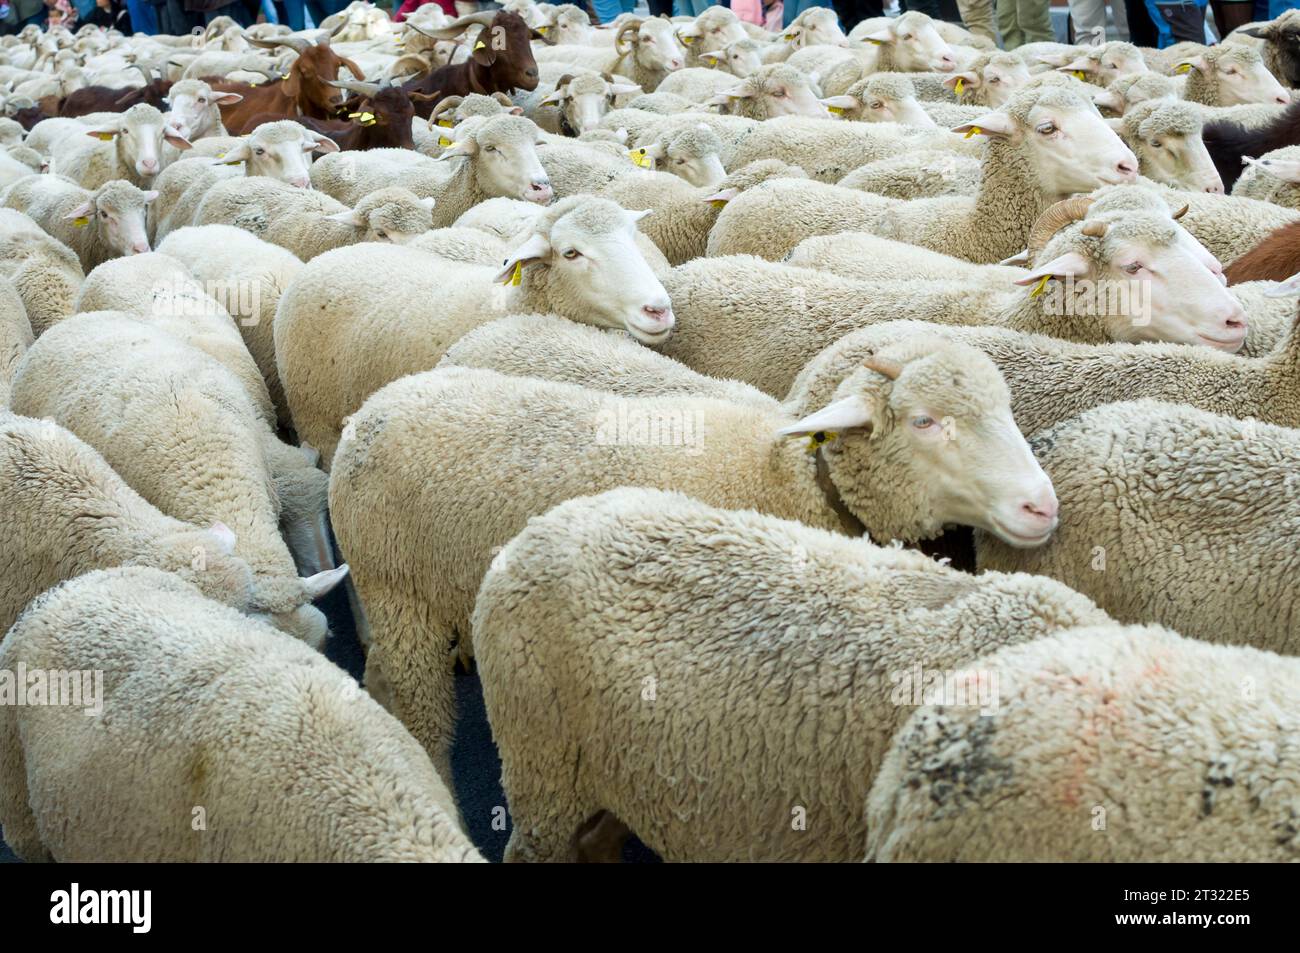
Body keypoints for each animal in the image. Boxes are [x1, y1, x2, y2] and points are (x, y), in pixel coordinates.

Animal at [275, 196, 673, 467]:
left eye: (633, 238)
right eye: (571, 253)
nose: (658, 310)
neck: (506, 304)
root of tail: (334, 255)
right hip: (315, 418)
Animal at [328, 342, 1059, 766]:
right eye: (923, 420)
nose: (1041, 506)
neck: (798, 475)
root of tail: (375, 406)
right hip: (395, 588)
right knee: (414, 698)